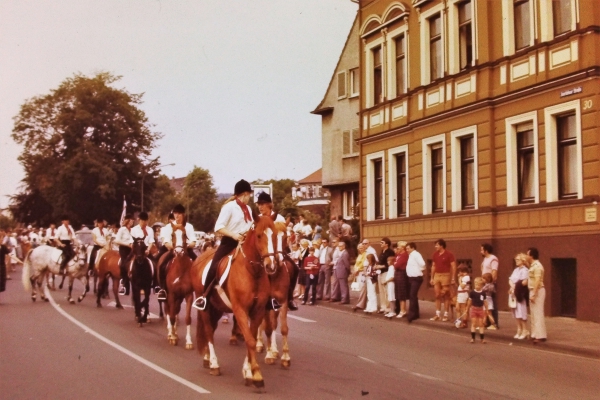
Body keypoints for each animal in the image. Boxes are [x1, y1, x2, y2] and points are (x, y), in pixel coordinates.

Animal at [159, 222, 195, 350]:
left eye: (184, 234)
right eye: (172, 234)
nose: (179, 252)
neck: (181, 269)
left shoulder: (188, 295)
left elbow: (187, 318)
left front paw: (188, 342)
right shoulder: (171, 294)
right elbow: (172, 316)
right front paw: (173, 337)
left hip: (179, 298)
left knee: (175, 310)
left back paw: (175, 333)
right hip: (168, 296)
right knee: (169, 311)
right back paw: (171, 333)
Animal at [191, 214, 278, 390]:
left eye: (275, 235)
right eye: (259, 235)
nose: (271, 266)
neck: (252, 272)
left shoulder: (258, 311)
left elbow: (251, 339)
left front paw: (248, 371)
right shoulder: (240, 310)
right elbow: (250, 341)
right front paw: (257, 375)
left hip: (217, 308)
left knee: (211, 329)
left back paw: (207, 358)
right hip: (205, 307)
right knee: (209, 331)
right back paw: (214, 364)